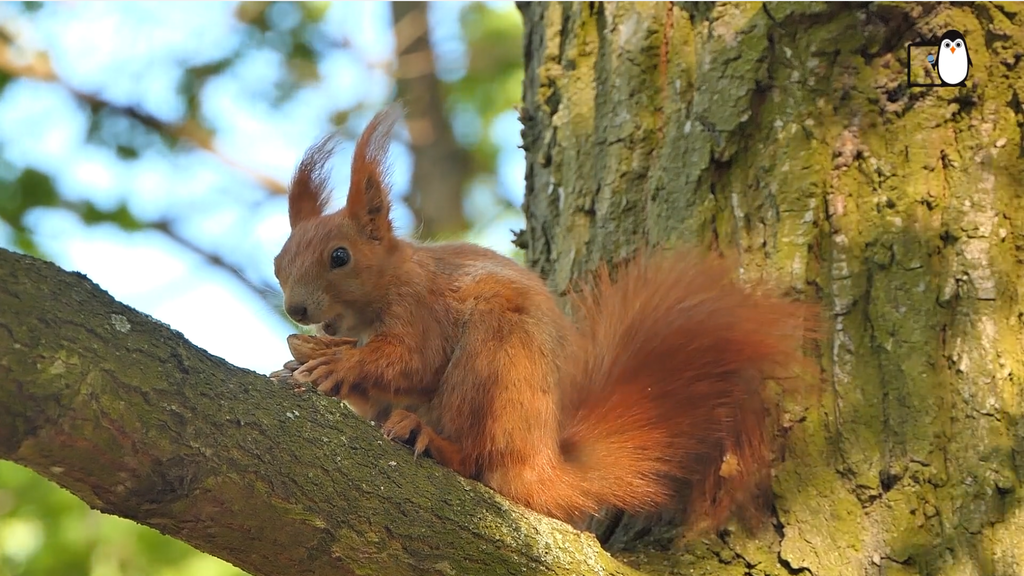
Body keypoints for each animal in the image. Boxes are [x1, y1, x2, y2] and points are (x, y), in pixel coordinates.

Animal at [270, 106, 815, 528]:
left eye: (340, 257)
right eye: (278, 264)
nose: (297, 310)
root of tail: (542, 464)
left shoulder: (420, 305)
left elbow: (413, 361)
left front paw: (340, 363)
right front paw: (303, 363)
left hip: (495, 358)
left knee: (478, 460)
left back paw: (431, 439)